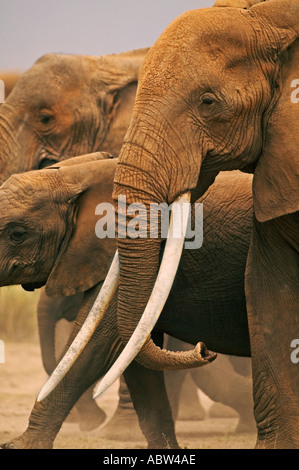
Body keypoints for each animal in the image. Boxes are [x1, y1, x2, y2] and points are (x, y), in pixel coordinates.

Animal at [0, 153, 255, 448]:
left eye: (17, 234)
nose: (204, 350)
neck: (77, 173)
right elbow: (131, 352)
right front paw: (166, 449)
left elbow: (96, 345)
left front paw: (19, 446)